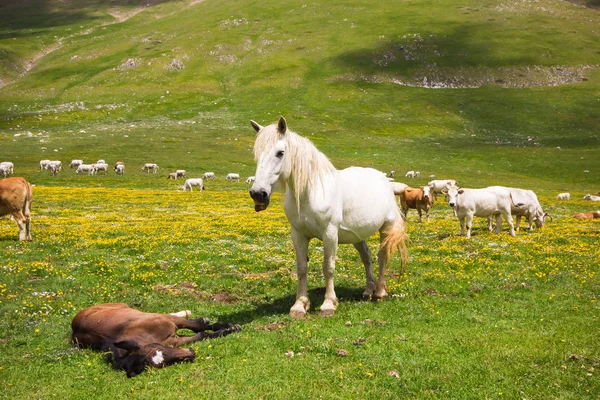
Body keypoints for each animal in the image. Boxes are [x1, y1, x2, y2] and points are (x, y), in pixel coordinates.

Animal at [70, 304, 239, 378]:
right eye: (162, 363)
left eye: (161, 350)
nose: (191, 354)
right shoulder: (176, 342)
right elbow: (201, 334)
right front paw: (226, 330)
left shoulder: (170, 321)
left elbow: (199, 327)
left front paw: (231, 327)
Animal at [248, 117, 408, 318]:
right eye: (256, 154)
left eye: (280, 153)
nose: (258, 194)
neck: (311, 191)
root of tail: (385, 181)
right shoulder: (298, 234)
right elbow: (302, 268)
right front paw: (300, 305)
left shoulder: (330, 234)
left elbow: (328, 267)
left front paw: (328, 304)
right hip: (357, 235)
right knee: (367, 256)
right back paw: (367, 291)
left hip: (386, 228)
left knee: (382, 257)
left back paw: (379, 292)